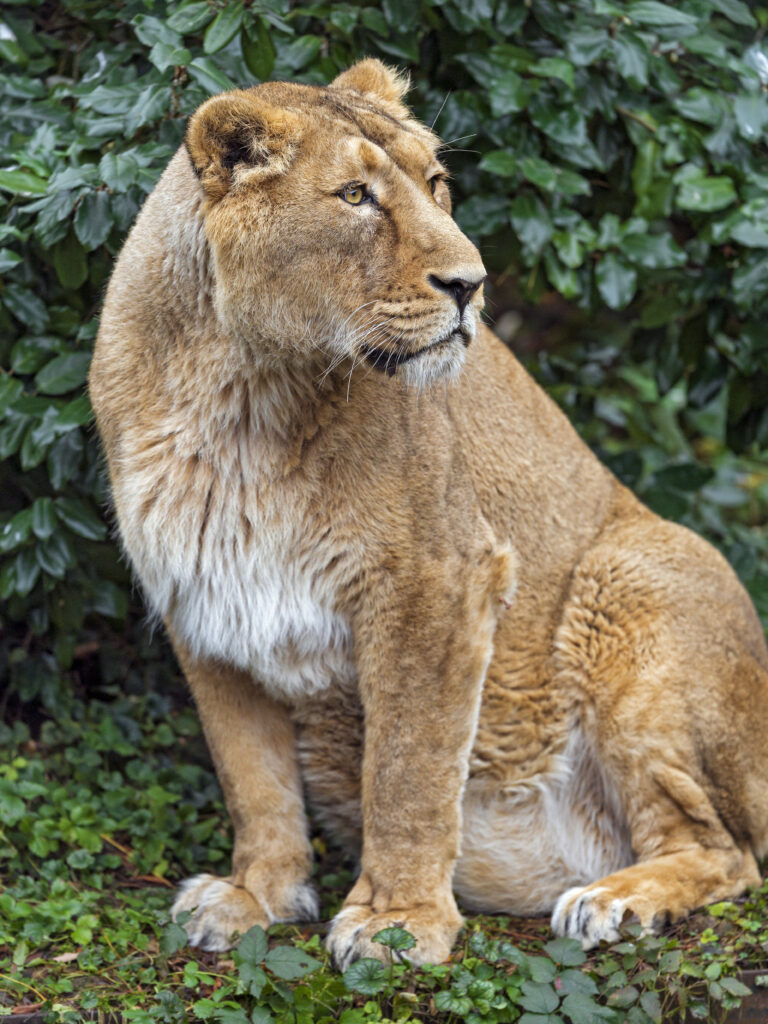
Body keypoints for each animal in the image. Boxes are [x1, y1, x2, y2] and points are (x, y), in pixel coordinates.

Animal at [89, 59, 768, 967]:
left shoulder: (437, 580)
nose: (470, 285)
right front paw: (258, 896)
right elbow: (251, 776)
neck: (241, 391)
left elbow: (407, 765)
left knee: (725, 850)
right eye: (354, 197)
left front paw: (397, 921)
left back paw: (615, 902)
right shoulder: (202, 598)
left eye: (436, 184)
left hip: (635, 576)